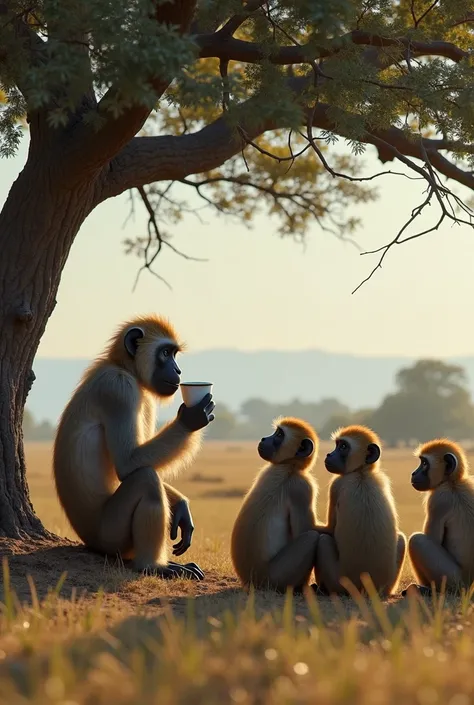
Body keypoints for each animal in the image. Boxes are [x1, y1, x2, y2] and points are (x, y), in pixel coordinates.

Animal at [52, 314, 215, 576]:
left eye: (174, 354)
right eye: (166, 353)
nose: (178, 370)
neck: (123, 367)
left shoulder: (144, 398)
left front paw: (180, 504)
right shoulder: (119, 389)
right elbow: (129, 465)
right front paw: (192, 418)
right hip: (109, 535)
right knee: (146, 480)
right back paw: (155, 566)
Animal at [231, 416, 320, 592]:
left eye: (278, 435)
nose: (264, 439)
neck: (289, 465)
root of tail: (252, 580)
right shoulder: (302, 487)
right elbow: (305, 530)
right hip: (276, 577)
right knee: (311, 537)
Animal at [312, 424, 406, 592]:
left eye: (343, 447)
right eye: (337, 445)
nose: (329, 454)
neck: (361, 472)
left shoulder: (337, 484)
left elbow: (329, 530)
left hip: (336, 580)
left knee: (323, 540)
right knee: (401, 538)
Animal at [402, 440, 474, 592]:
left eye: (424, 463)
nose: (413, 473)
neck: (452, 483)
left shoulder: (437, 499)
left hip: (453, 579)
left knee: (416, 540)